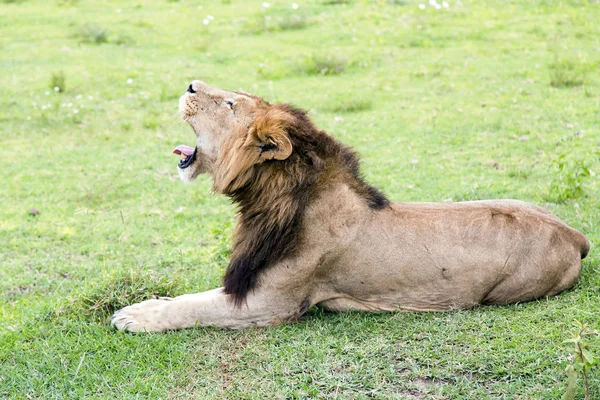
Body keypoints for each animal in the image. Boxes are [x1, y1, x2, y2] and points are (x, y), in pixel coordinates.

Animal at [110, 80, 588, 332]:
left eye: (230, 103)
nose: (190, 83)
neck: (270, 198)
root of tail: (574, 234)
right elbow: (191, 297)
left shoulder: (273, 303)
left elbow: (192, 305)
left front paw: (136, 314)